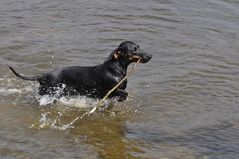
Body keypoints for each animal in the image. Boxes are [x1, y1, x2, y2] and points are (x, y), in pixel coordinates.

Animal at [8, 40, 153, 100]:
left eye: (139, 46)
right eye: (134, 50)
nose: (150, 56)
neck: (116, 70)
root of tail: (42, 75)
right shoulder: (109, 90)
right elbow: (124, 93)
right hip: (49, 92)